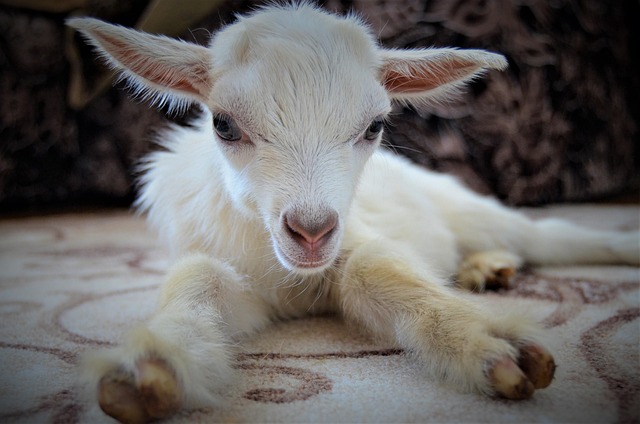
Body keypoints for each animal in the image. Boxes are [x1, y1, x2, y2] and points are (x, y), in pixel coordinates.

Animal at [68, 4, 639, 423]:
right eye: (224, 124)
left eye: (374, 126)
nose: (311, 232)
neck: (293, 280)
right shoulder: (240, 273)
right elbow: (200, 275)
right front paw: (155, 366)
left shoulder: (354, 242)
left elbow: (372, 268)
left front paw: (480, 338)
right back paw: (486, 267)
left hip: (470, 209)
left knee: (548, 235)